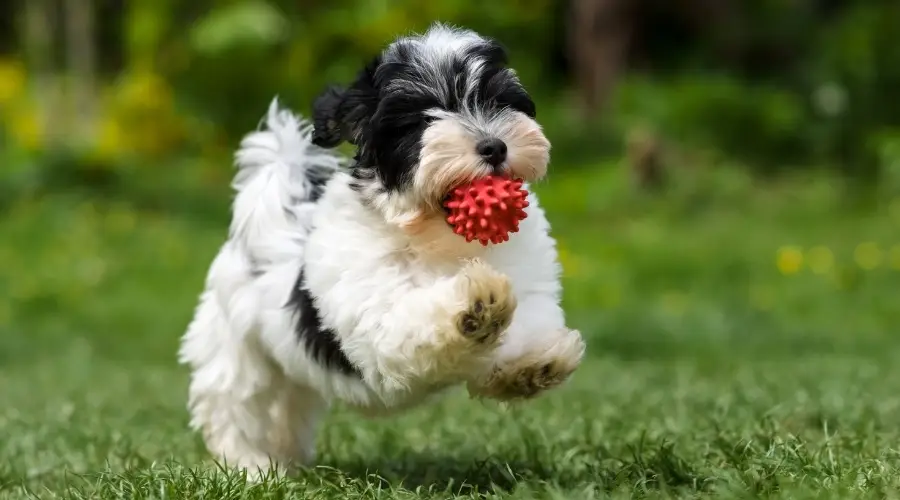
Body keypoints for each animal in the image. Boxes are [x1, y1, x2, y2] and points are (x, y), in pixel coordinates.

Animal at [178, 22, 588, 476]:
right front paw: (474, 306)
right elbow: (408, 319)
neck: (435, 233)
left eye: (499, 103)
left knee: (289, 405)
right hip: (236, 343)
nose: (494, 146)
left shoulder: (528, 272)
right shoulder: (375, 308)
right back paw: (251, 467)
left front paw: (531, 366)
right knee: (236, 403)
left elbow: (527, 323)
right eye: (422, 119)